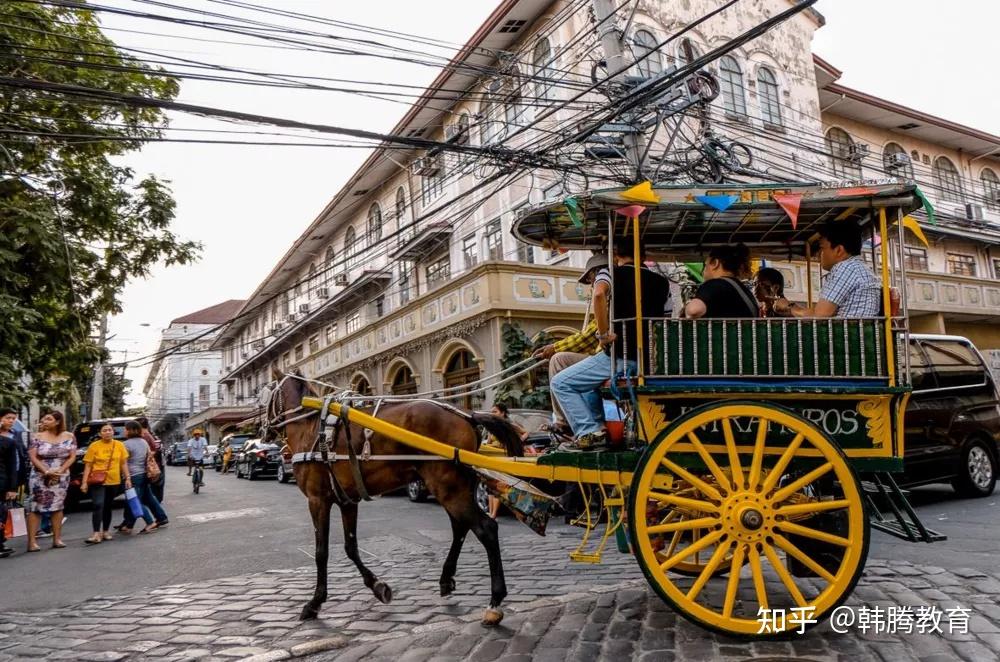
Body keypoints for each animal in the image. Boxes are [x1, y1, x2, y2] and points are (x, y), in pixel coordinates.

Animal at [270, 374, 528, 628]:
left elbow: (321, 552)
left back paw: (494, 602)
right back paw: (446, 579)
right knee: (460, 528)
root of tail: (468, 415)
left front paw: (314, 603)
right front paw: (378, 587)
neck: (312, 429)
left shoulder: (317, 500)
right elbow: (351, 547)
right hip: (455, 487)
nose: (266, 431)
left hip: (449, 487)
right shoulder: (347, 500)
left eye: (269, 392)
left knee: (486, 529)